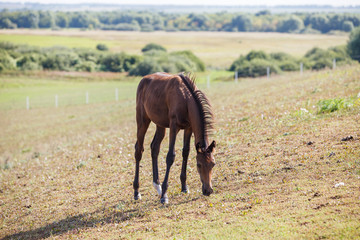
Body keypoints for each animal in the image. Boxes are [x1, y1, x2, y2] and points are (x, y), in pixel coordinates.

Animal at [133, 72, 215, 203]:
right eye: (199, 165)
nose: (208, 191)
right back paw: (137, 192)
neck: (185, 98)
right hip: (142, 121)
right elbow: (170, 156)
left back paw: (157, 186)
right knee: (138, 150)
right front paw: (164, 196)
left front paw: (184, 187)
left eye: (213, 164)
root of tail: (143, 79)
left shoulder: (188, 128)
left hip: (160, 124)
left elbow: (185, 152)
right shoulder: (174, 126)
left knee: (155, 147)